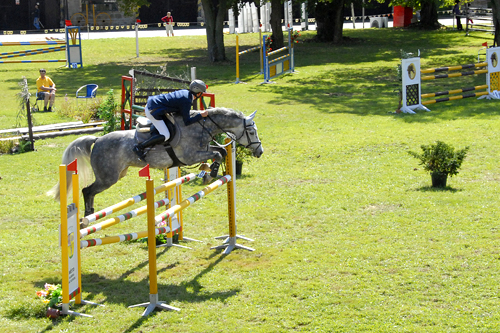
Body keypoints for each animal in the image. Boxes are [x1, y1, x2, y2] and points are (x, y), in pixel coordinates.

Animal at [48, 106, 264, 223]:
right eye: (251, 132)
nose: (260, 152)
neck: (200, 126)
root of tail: (97, 139)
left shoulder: (201, 150)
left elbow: (220, 152)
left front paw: (212, 172)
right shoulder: (189, 156)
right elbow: (217, 154)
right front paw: (210, 173)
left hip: (117, 174)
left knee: (90, 191)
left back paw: (90, 215)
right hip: (108, 177)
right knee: (87, 190)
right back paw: (88, 217)